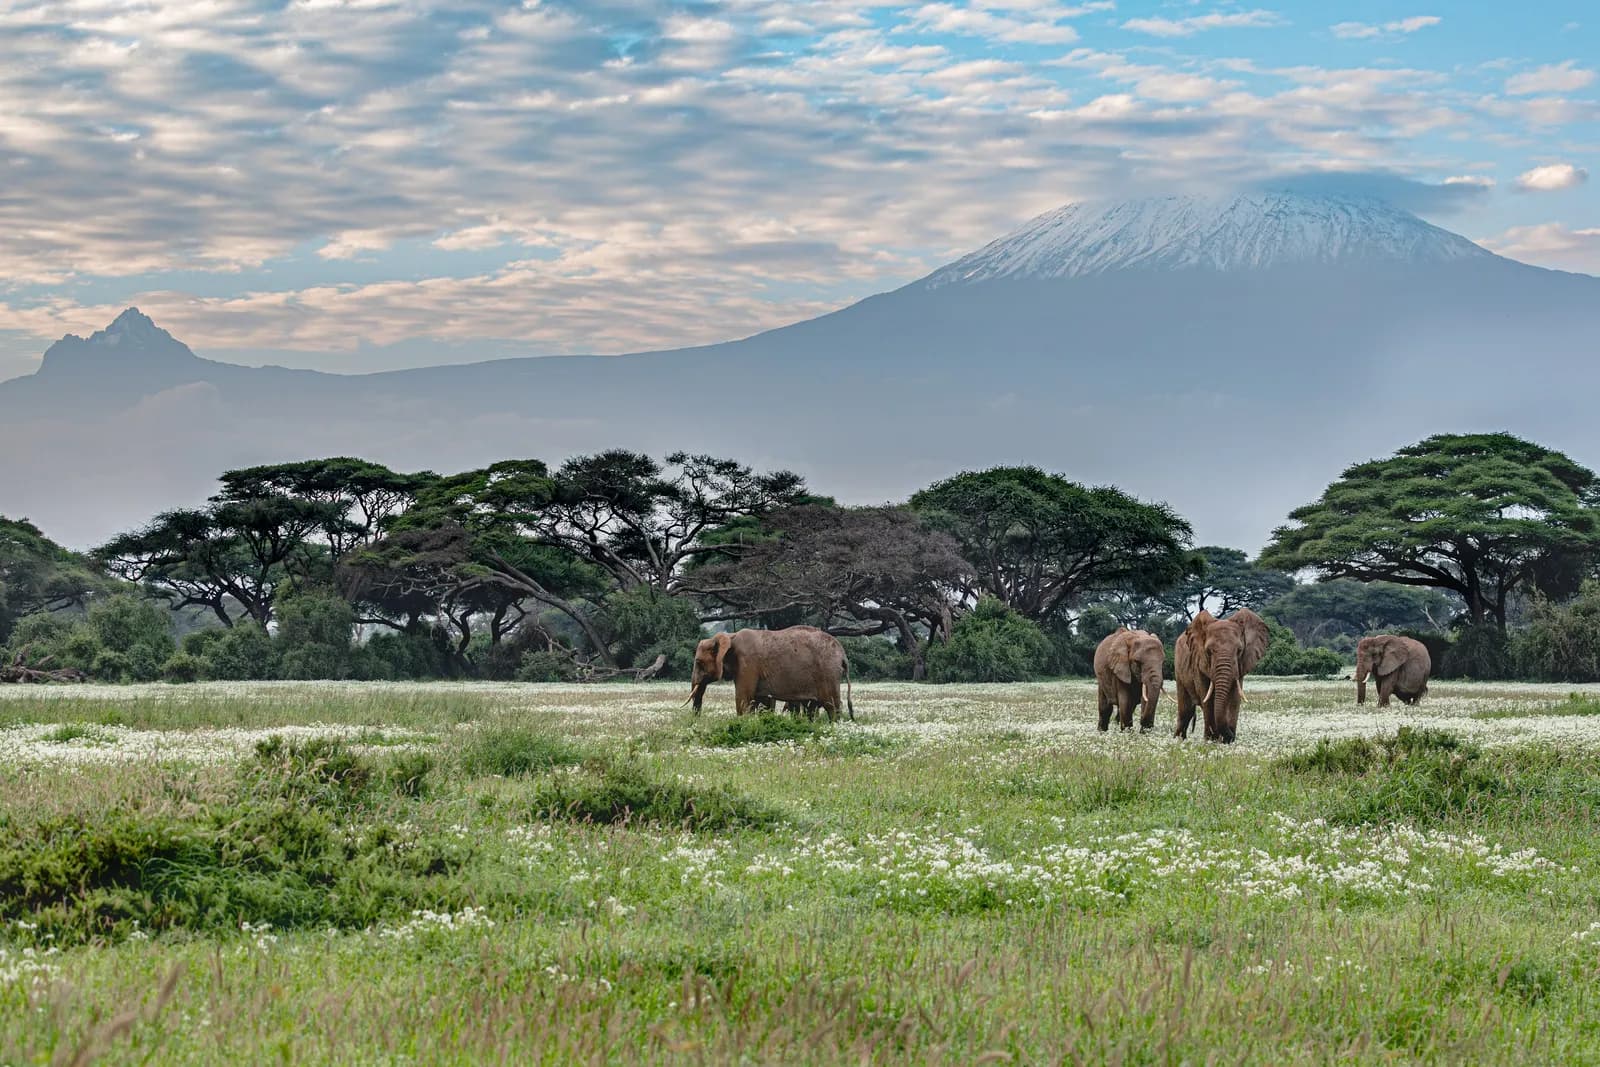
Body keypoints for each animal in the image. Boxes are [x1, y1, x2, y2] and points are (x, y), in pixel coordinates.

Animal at [689, 626, 856, 722]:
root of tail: (843, 655)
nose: (696, 720)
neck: (730, 636)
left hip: (828, 673)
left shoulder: (748, 663)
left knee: (832, 706)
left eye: (699, 662)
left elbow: (743, 698)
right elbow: (761, 701)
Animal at [1174, 608, 1270, 744]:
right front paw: (1211, 740)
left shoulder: (1240, 666)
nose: (1230, 736)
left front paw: (1227, 741)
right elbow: (1206, 696)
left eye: (1239, 651)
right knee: (1185, 710)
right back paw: (1178, 740)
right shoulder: (1198, 661)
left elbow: (1235, 697)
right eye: (1208, 652)